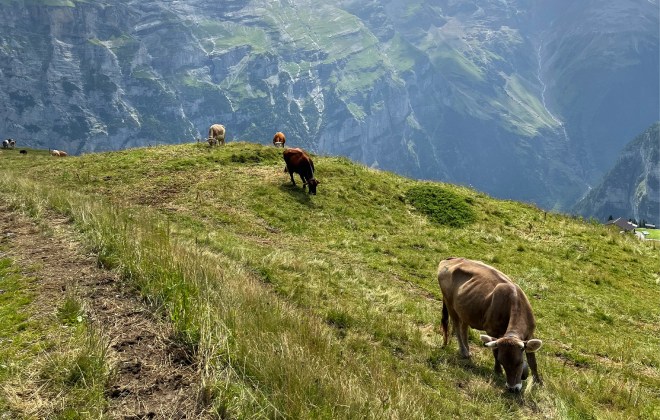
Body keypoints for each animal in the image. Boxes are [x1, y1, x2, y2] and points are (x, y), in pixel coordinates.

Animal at [437, 257, 542, 392]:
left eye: (519, 362)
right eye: (503, 362)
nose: (512, 388)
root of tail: (450, 259)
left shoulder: (530, 333)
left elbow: (532, 360)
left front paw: (538, 381)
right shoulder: (492, 331)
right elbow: (495, 352)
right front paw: (498, 371)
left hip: (465, 309)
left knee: (464, 327)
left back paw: (468, 350)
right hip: (450, 303)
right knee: (456, 326)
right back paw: (464, 351)